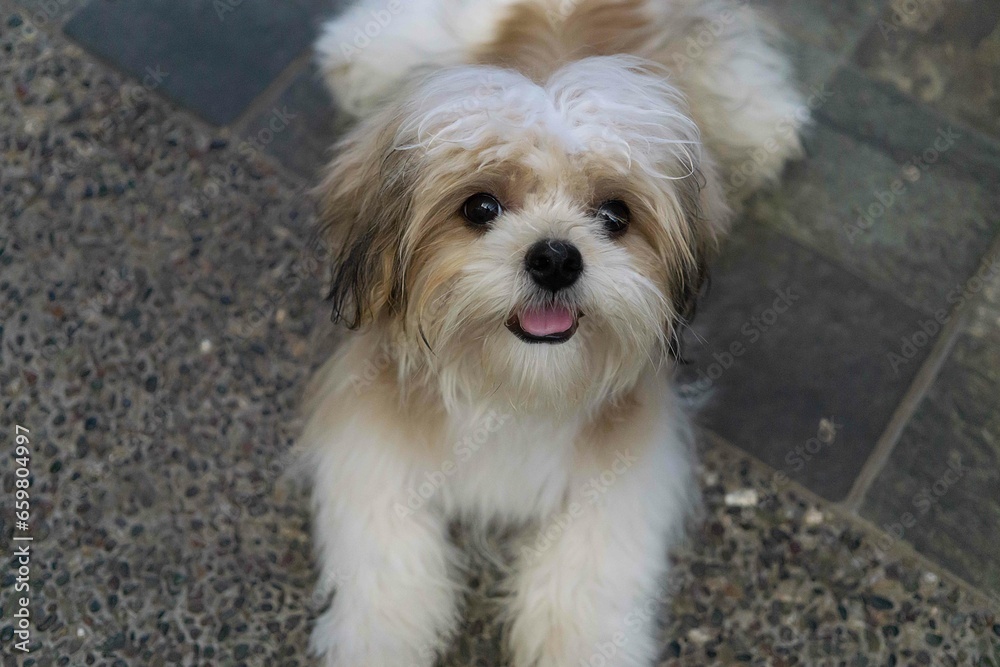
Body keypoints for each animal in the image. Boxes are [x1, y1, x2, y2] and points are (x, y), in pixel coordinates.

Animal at [298, 2, 804, 664]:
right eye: (480, 207)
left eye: (615, 215)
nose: (557, 257)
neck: (516, 383)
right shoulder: (369, 435)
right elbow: (385, 554)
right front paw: (380, 639)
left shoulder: (626, 469)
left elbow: (587, 576)